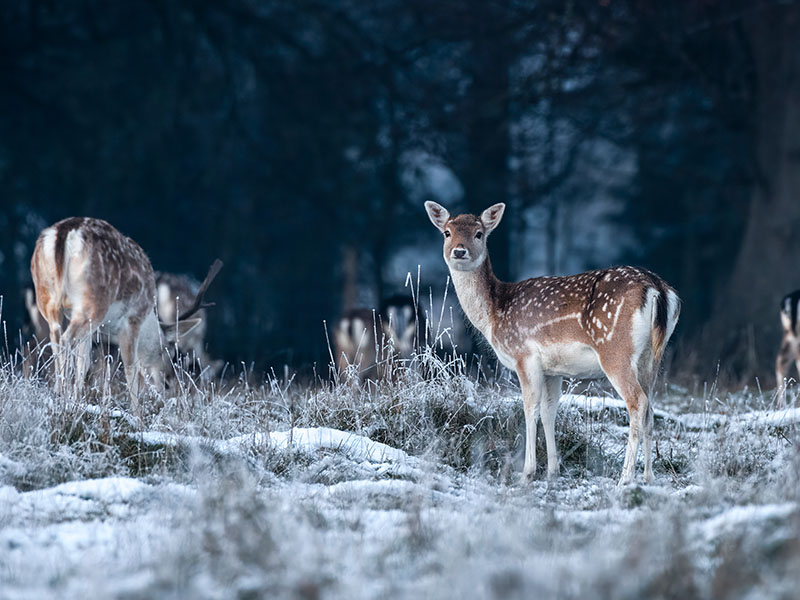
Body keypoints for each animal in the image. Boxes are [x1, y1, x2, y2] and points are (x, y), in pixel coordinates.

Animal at [30, 217, 222, 414]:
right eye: (169, 349)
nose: (168, 382)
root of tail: (65, 232)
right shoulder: (132, 319)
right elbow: (131, 368)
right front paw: (138, 415)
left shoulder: (92, 328)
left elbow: (84, 362)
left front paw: (77, 401)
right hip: (93, 302)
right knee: (66, 339)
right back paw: (61, 393)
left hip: (47, 298)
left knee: (55, 337)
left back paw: (58, 394)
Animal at [425, 201, 680, 485]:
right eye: (447, 232)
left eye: (479, 233)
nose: (459, 251)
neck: (494, 314)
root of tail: (658, 289)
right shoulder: (553, 370)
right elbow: (549, 411)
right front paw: (552, 471)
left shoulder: (524, 355)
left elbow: (529, 409)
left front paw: (527, 472)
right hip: (652, 357)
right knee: (650, 408)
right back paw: (648, 476)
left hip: (615, 350)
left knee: (638, 403)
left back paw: (625, 477)